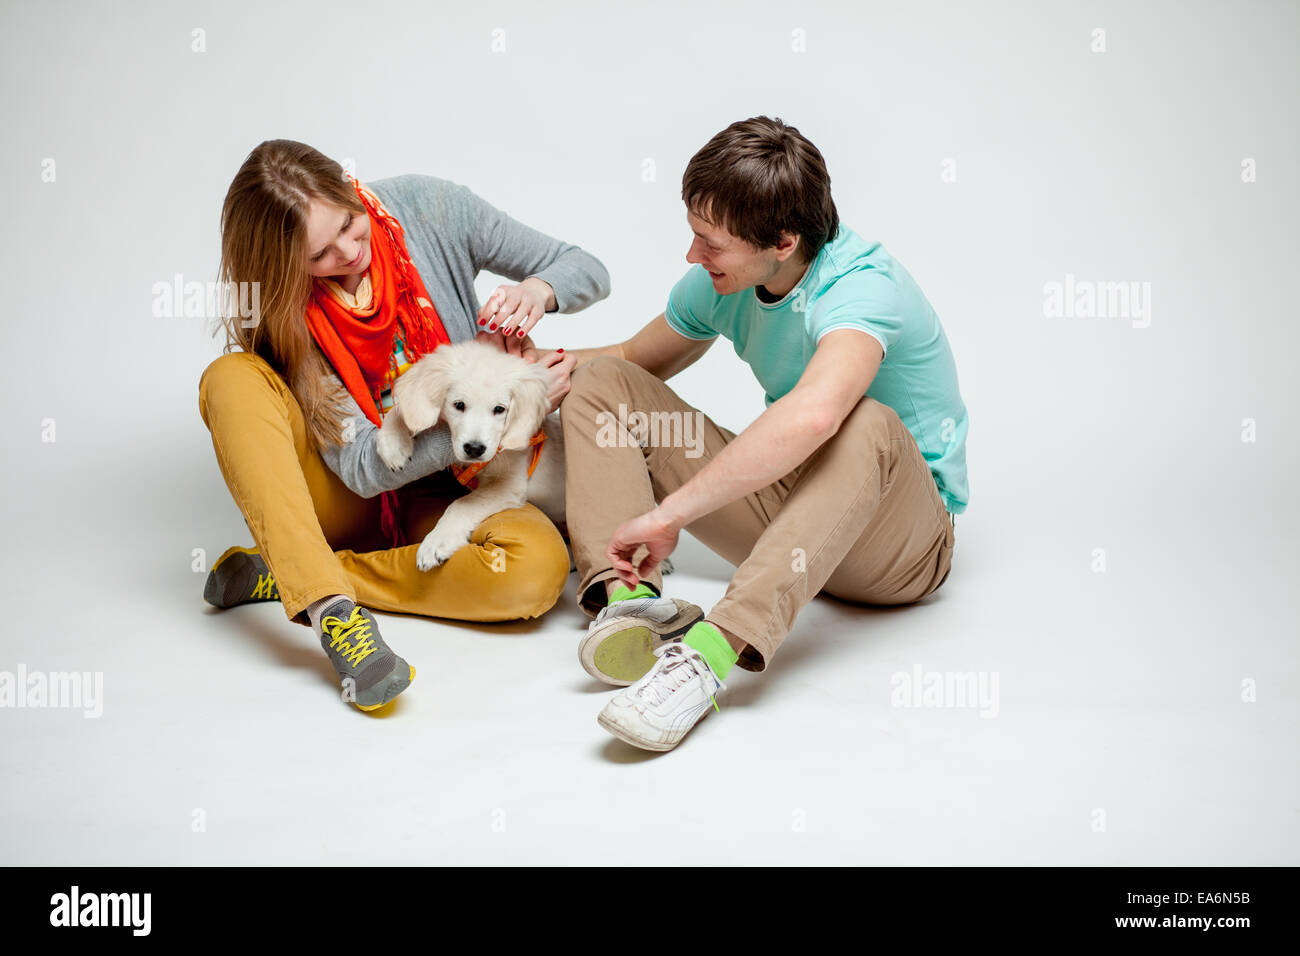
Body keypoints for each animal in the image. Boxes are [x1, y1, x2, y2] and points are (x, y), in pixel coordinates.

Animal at [371, 340, 564, 572]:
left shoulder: (508, 484)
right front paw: (393, 445)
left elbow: (462, 505)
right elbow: (399, 410)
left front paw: (436, 542)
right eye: (459, 405)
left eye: (499, 409)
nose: (474, 449)